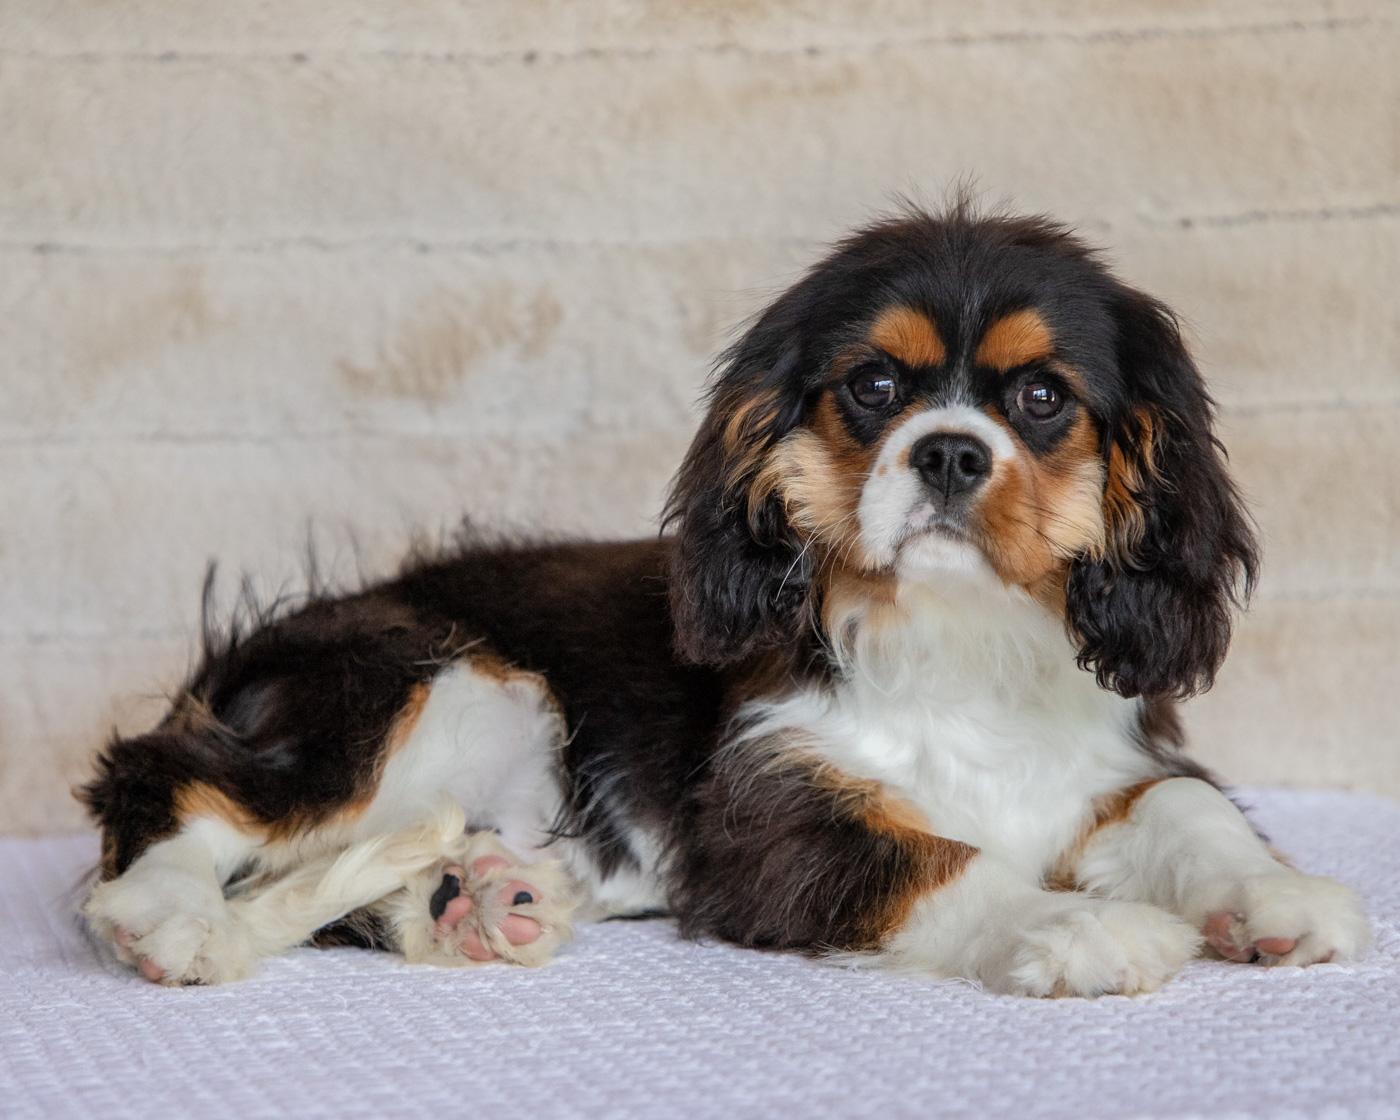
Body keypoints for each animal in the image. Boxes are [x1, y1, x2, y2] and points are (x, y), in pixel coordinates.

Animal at [76, 205, 1366, 991]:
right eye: (874, 386)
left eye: (1042, 397)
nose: (949, 451)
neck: (956, 641)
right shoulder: (771, 821)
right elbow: (939, 860)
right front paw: (1078, 926)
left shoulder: (1111, 760)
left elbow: (1184, 805)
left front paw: (1276, 893)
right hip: (433, 677)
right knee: (168, 784)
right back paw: (172, 920)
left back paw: (480, 898)